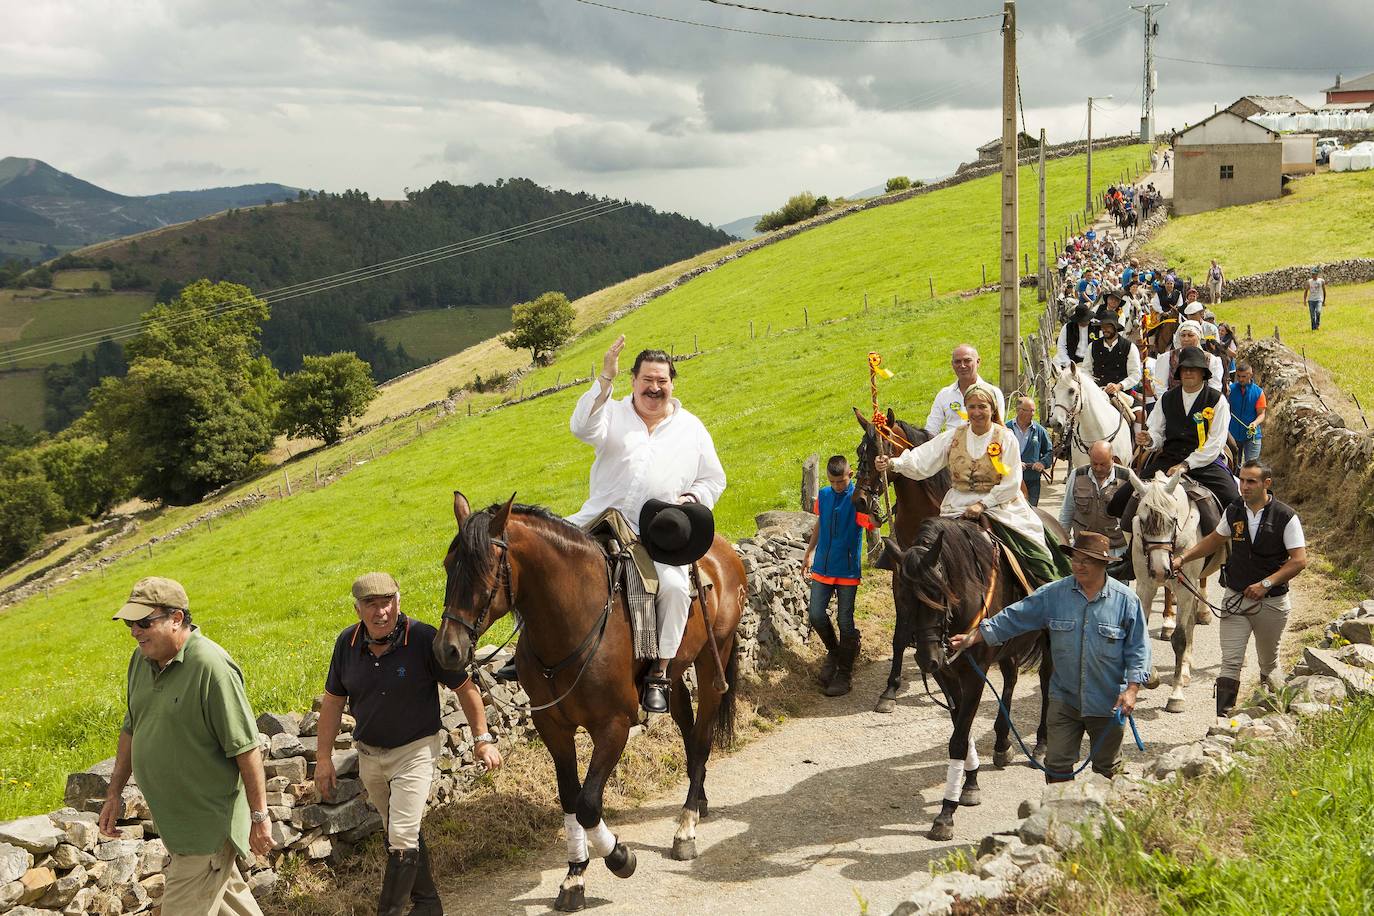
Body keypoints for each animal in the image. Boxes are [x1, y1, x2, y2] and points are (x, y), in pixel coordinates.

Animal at [434, 494, 747, 911]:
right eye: (448, 565)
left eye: (485, 568)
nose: (447, 650)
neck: (572, 624)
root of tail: (724, 551)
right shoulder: (554, 728)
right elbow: (570, 798)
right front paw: (575, 874)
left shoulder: (613, 726)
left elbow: (587, 803)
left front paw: (619, 857)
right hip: (677, 669)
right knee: (685, 722)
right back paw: (699, 799)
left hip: (713, 661)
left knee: (701, 738)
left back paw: (686, 826)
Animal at [884, 519, 1044, 840]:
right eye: (903, 597)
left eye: (937, 595)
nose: (927, 659)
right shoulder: (947, 674)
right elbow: (961, 727)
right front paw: (970, 784)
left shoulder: (973, 674)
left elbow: (958, 738)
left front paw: (947, 812)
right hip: (1007, 651)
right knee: (1011, 679)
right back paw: (1002, 744)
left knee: (1050, 683)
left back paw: (1042, 746)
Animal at [1126, 472, 1225, 714]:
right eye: (1142, 520)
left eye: (1172, 520)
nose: (1161, 570)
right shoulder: (1145, 586)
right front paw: (1151, 677)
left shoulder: (1184, 588)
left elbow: (1180, 638)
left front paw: (1176, 696)